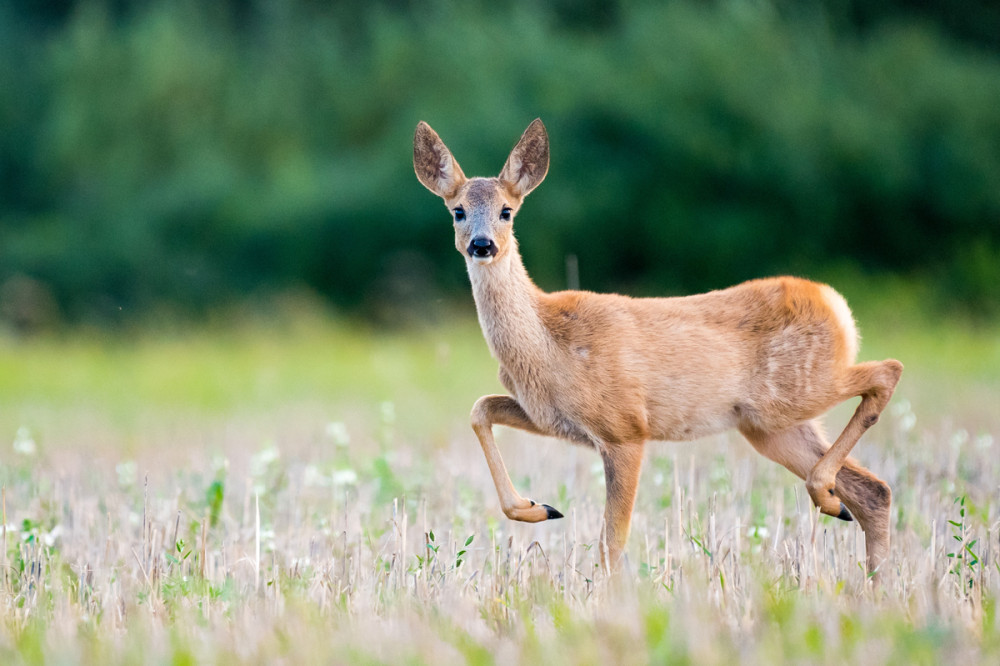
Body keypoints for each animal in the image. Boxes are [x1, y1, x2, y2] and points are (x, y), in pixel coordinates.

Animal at [410, 119, 904, 576]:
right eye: (457, 211)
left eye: (507, 211)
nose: (482, 244)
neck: (547, 344)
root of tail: (835, 304)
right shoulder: (550, 417)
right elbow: (480, 408)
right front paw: (538, 508)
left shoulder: (625, 427)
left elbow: (611, 544)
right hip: (770, 426)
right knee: (874, 490)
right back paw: (861, 558)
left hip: (795, 390)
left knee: (888, 371)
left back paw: (828, 499)